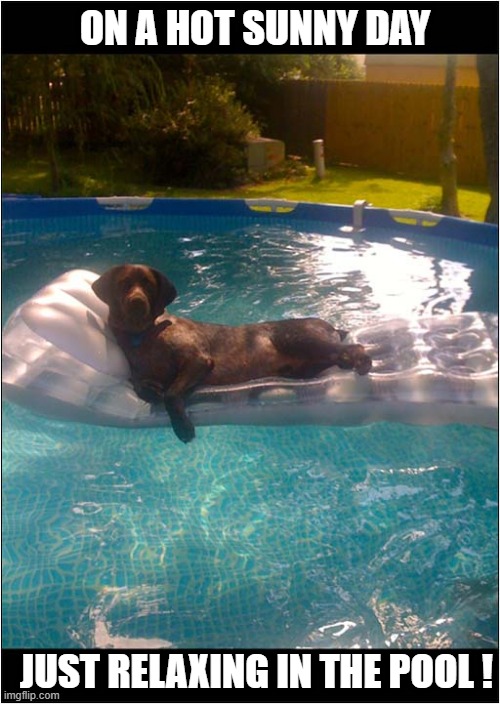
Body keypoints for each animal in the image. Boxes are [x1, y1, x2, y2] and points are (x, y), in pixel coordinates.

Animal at [92, 264, 372, 440]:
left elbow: (171, 394)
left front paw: (182, 427)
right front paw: (154, 391)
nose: (137, 302)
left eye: (149, 285)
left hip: (299, 339)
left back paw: (362, 361)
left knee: (354, 347)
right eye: (123, 284)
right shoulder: (140, 378)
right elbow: (143, 387)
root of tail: (330, 325)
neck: (145, 336)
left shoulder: (198, 360)